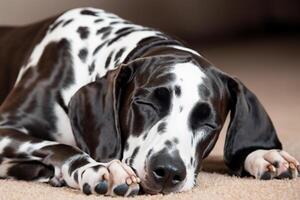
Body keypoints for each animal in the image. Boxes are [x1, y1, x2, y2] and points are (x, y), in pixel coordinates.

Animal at [0, 6, 300, 197]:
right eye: (146, 104)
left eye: (209, 124)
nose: (167, 171)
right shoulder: (6, 128)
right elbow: (61, 146)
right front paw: (98, 167)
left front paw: (261, 153)